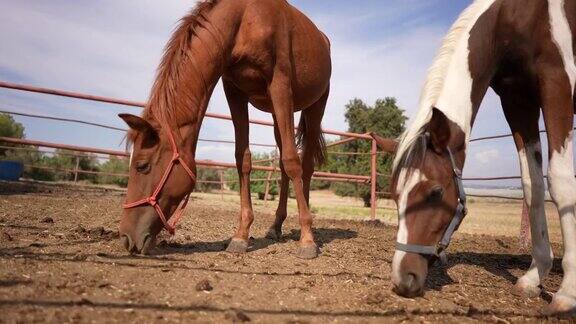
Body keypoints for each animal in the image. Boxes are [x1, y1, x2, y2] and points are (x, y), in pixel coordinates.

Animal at [117, 0, 330, 260]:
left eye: (142, 166)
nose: (126, 238)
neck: (245, 19)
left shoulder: (280, 85)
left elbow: (292, 161)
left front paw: (307, 239)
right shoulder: (234, 90)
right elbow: (243, 159)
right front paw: (240, 236)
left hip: (314, 106)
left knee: (304, 164)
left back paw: (306, 225)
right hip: (276, 114)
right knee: (282, 166)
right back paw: (275, 226)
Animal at [374, 0, 576, 316]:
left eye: (435, 192)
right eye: (395, 196)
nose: (403, 279)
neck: (516, 18)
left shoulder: (558, 81)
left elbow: (560, 181)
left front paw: (567, 292)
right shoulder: (518, 101)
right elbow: (532, 186)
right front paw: (534, 277)